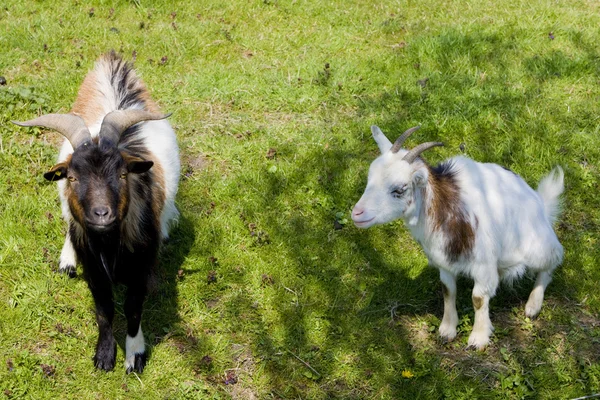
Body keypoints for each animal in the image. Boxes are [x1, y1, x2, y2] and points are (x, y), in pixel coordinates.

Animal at [12, 50, 179, 372]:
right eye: (73, 177)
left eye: (123, 174)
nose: (102, 214)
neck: (109, 245)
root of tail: (110, 64)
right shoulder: (94, 268)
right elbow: (104, 309)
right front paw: (104, 355)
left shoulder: (141, 263)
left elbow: (133, 308)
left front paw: (134, 356)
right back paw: (66, 260)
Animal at [352, 126, 564, 348]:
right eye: (369, 178)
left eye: (399, 189)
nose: (357, 213)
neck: (446, 206)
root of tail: (542, 206)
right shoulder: (444, 261)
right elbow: (448, 290)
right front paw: (447, 329)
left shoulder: (483, 264)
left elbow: (478, 298)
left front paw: (478, 337)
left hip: (537, 249)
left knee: (552, 262)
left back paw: (533, 305)